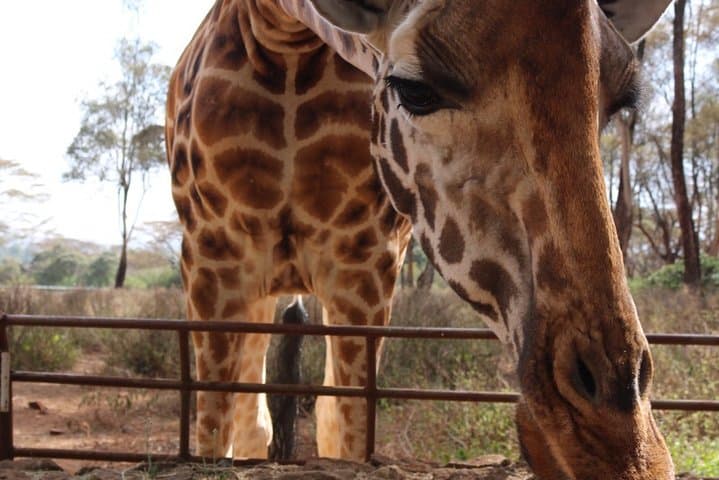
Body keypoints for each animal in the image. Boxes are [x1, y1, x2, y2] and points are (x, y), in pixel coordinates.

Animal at [165, 0, 675, 478]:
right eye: (416, 90)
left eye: (620, 101)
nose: (622, 449)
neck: (286, 39)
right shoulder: (213, 259)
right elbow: (213, 433)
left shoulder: (366, 265)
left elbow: (345, 430)